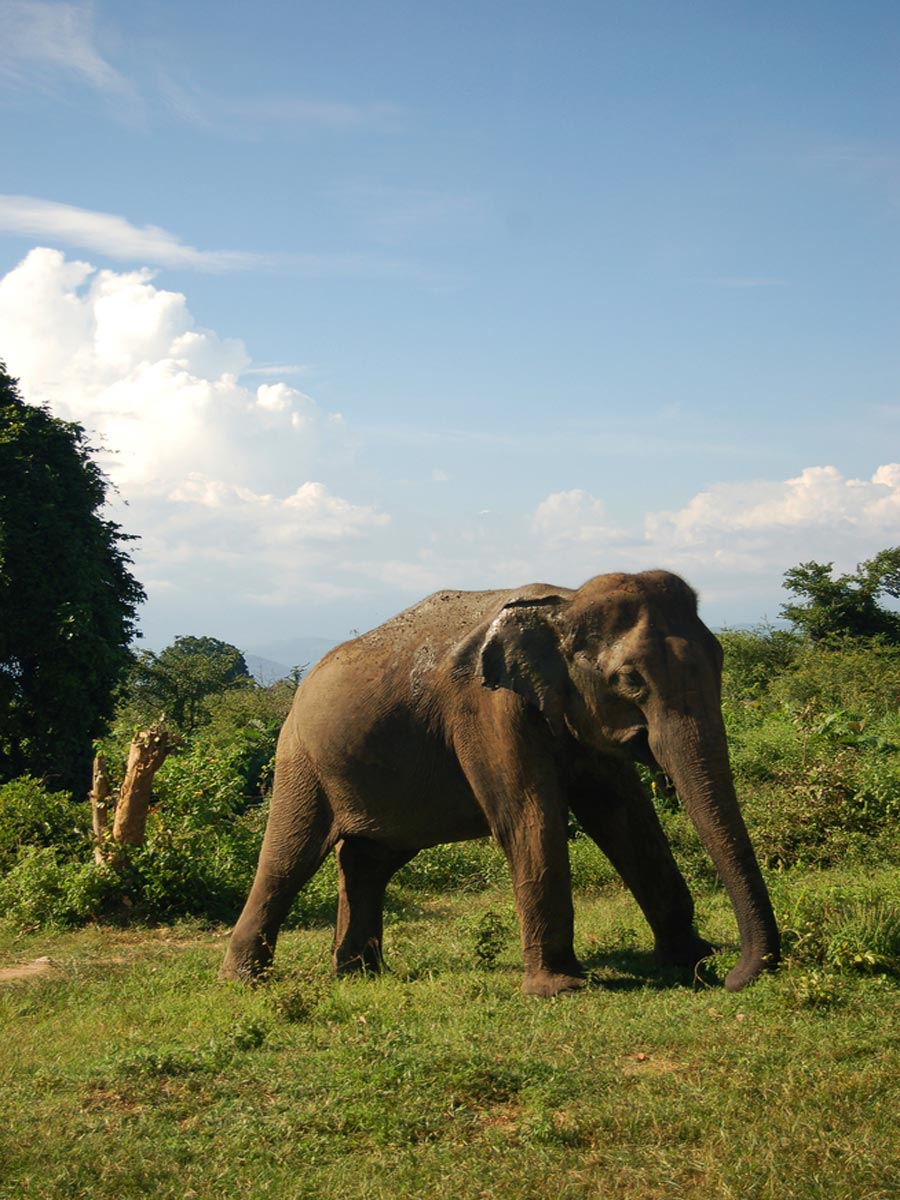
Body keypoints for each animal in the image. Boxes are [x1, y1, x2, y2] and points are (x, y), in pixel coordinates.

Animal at [222, 571, 777, 993]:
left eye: (720, 659)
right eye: (630, 680)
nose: (732, 976)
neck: (564, 603)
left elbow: (625, 814)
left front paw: (688, 961)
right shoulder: (486, 708)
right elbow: (530, 817)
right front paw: (561, 989)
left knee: (368, 859)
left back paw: (361, 975)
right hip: (300, 758)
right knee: (288, 858)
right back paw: (244, 982)